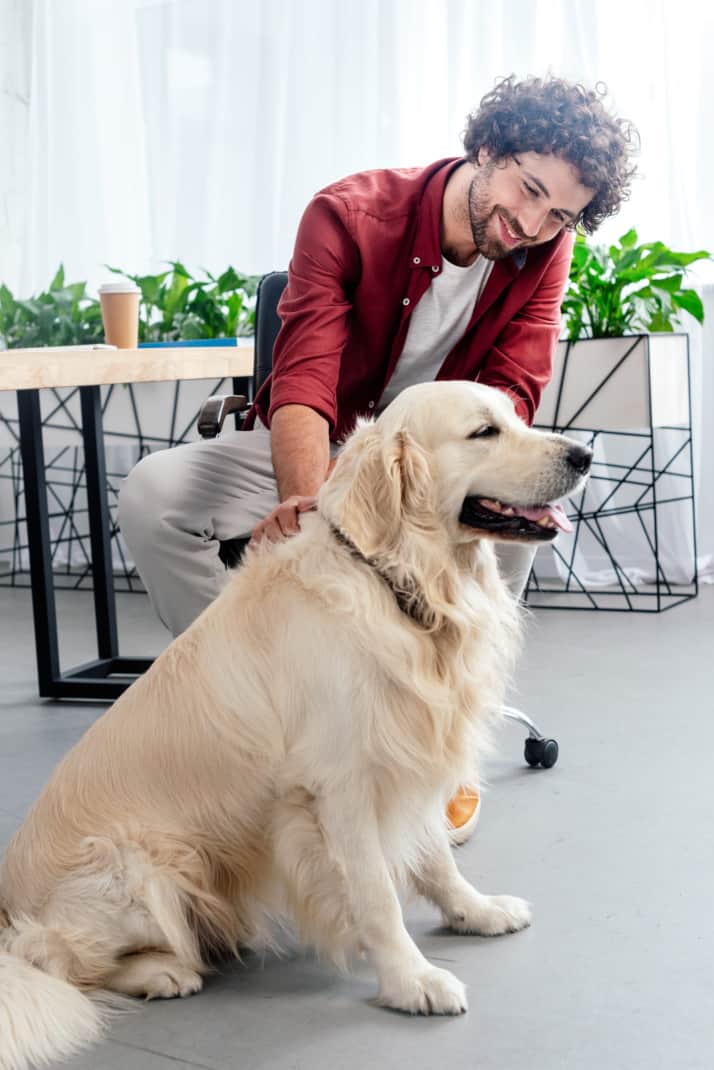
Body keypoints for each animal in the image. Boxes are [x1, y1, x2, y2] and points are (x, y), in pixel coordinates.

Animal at [0, 380, 590, 1065]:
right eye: (484, 432)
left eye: (517, 416)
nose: (584, 456)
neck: (398, 582)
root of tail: (7, 910)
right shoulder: (342, 788)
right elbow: (378, 897)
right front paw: (411, 980)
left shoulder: (406, 755)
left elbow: (437, 858)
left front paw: (476, 911)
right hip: (142, 867)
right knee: (56, 959)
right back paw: (162, 971)